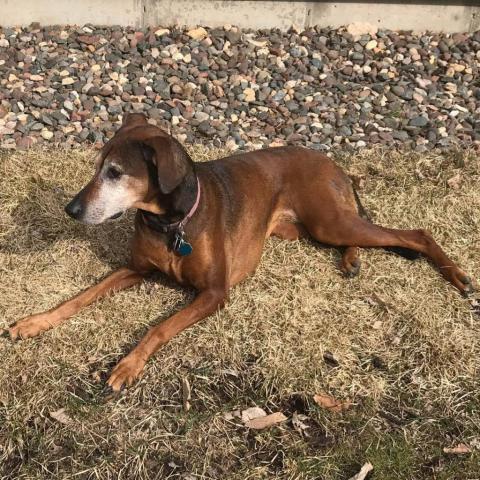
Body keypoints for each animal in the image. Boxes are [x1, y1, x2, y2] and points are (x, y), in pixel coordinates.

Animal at [9, 114, 474, 392]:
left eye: (115, 172)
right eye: (96, 168)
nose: (71, 210)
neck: (172, 223)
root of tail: (332, 162)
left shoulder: (215, 293)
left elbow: (158, 328)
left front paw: (127, 365)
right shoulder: (133, 269)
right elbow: (79, 298)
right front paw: (34, 322)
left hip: (329, 221)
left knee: (415, 233)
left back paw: (457, 275)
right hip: (307, 230)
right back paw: (352, 259)